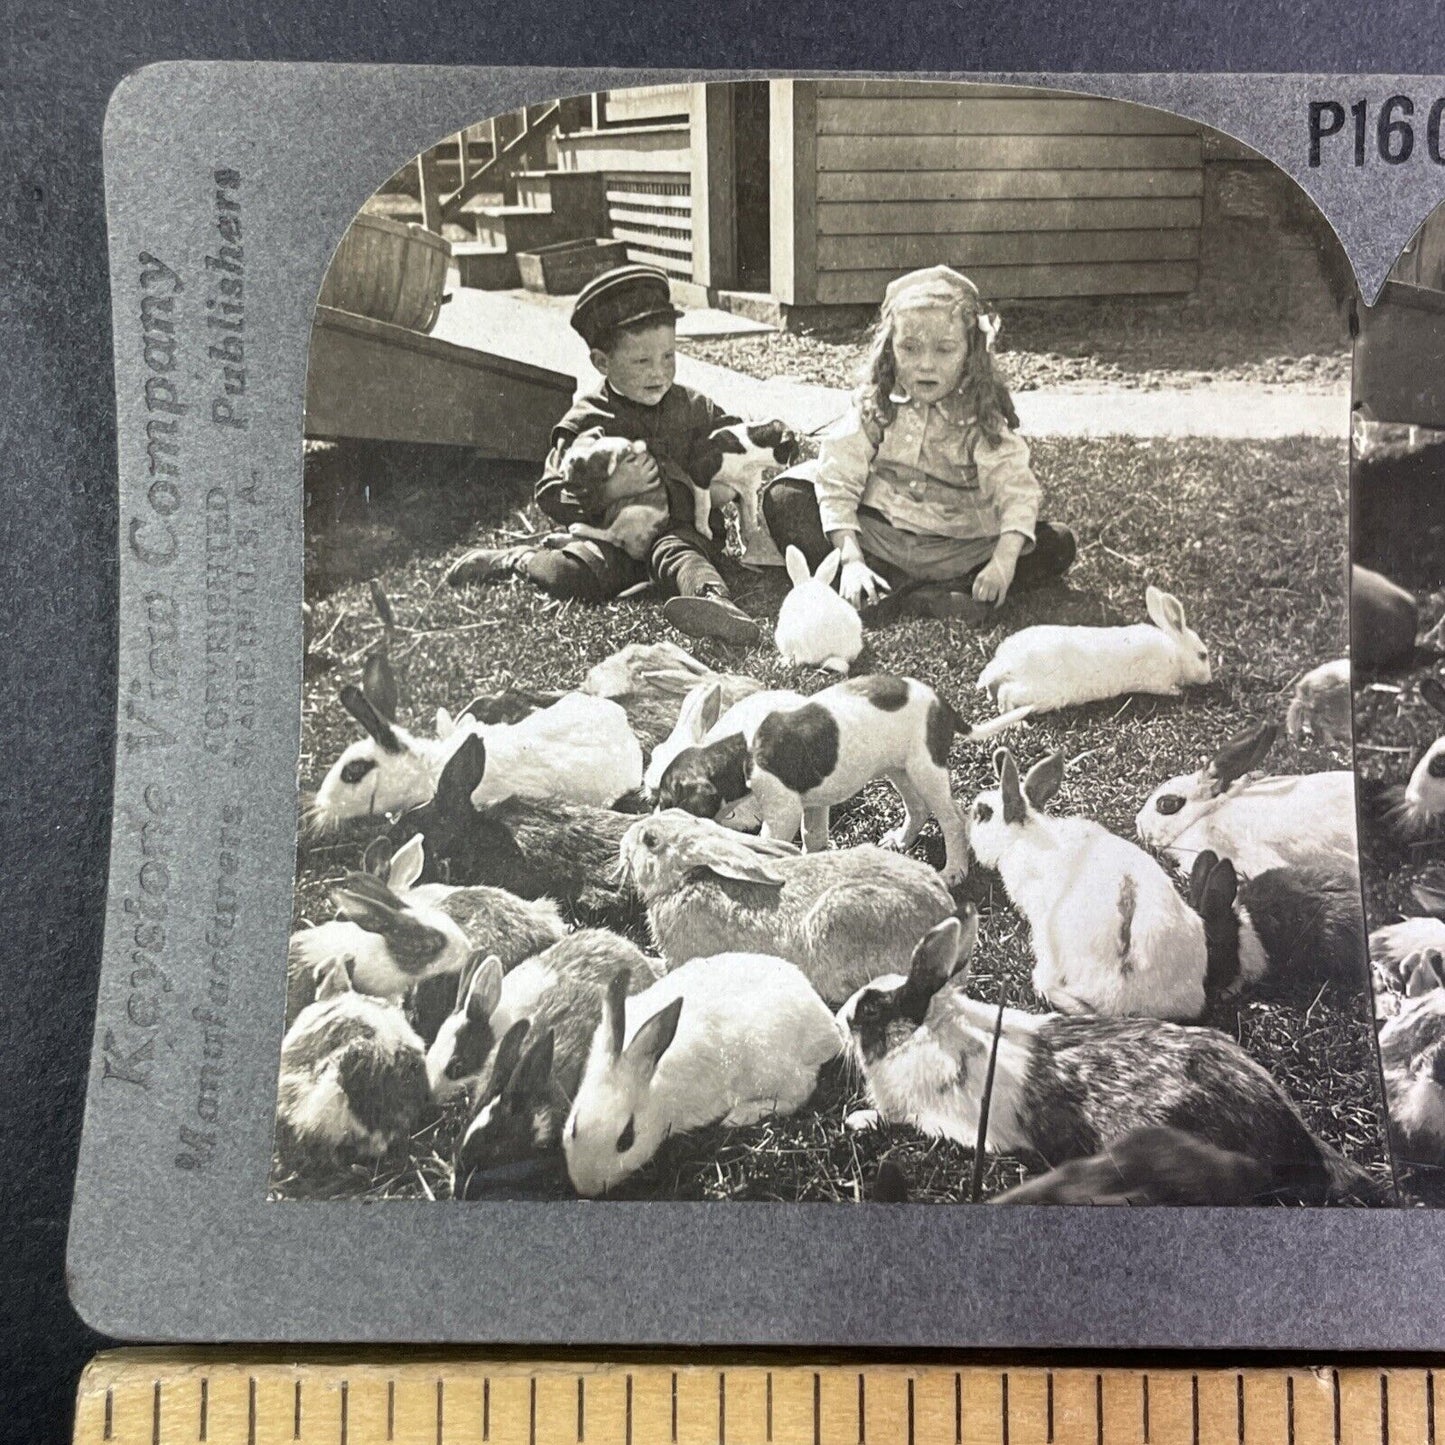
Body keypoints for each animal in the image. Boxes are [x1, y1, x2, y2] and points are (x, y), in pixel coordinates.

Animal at [557, 959, 843, 1196]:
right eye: (574, 1126)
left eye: (626, 1140)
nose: (586, 1187)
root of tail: (827, 1029)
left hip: (772, 1068)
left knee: (799, 1093)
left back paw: (740, 1116)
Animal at [982, 583, 1208, 713]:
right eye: (1203, 655)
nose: (1209, 678)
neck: (1176, 653)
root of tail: (1007, 661)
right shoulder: (1158, 680)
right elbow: (1167, 689)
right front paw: (1178, 691)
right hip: (1040, 692)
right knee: (1007, 693)